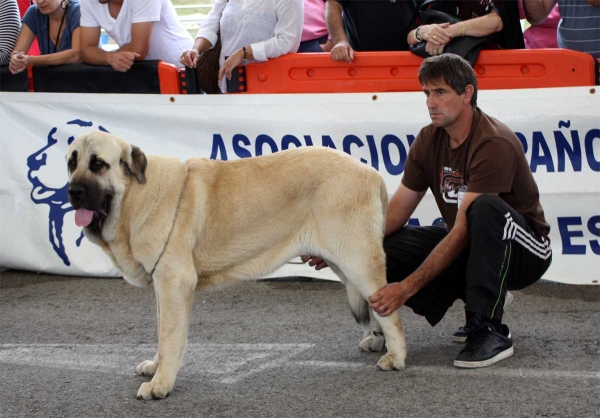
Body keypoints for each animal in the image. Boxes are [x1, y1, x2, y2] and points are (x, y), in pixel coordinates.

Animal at [67, 132, 408, 400]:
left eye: (98, 164)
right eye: (72, 163)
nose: (73, 191)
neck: (136, 196)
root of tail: (373, 173)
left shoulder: (175, 283)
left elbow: (170, 336)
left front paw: (160, 384)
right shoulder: (162, 287)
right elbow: (161, 332)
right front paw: (155, 367)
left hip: (356, 259)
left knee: (388, 308)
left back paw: (397, 356)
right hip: (343, 262)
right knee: (374, 305)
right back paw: (378, 341)